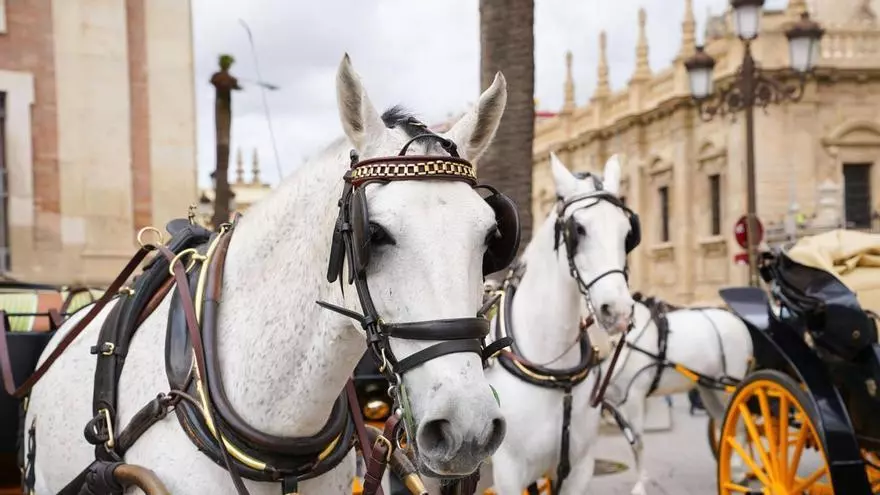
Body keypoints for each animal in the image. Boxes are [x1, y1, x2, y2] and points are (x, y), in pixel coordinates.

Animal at [475, 152, 640, 495]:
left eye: (627, 233)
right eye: (579, 229)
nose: (617, 310)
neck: (554, 373)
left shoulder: (580, 469)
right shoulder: (509, 472)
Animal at [597, 294, 753, 495]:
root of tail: (738, 322)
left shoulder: (633, 398)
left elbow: (638, 443)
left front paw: (640, 485)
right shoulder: (613, 401)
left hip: (728, 388)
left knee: (739, 424)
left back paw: (739, 471)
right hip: (710, 390)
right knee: (725, 424)